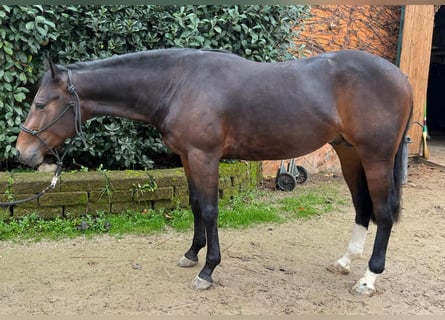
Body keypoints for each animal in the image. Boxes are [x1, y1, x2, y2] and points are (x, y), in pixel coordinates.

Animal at [17, 48, 412, 296]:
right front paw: (192, 254)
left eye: (40, 103)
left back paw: (369, 278)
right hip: (349, 153)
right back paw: (345, 262)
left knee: (384, 212)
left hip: (376, 156)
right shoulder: (187, 157)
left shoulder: (204, 156)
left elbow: (209, 209)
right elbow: (194, 204)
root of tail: (402, 78)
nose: (22, 153)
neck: (179, 84)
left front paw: (208, 270)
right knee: (362, 206)